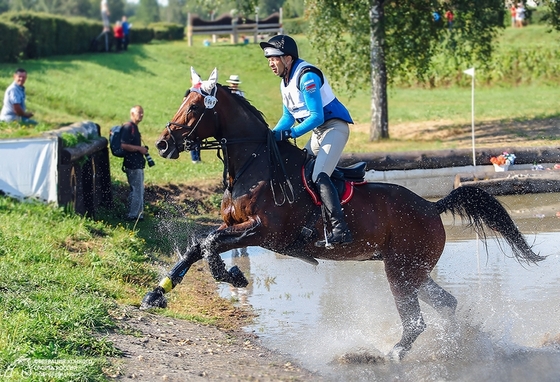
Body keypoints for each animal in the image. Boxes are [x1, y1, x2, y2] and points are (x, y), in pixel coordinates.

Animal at [141, 68, 548, 362]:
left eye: (195, 108)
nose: (162, 144)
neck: (255, 163)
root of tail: (432, 207)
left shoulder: (264, 232)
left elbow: (209, 243)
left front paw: (233, 276)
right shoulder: (235, 225)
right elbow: (197, 245)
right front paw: (157, 293)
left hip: (401, 271)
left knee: (416, 321)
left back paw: (389, 355)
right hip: (413, 269)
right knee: (446, 305)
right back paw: (459, 345)